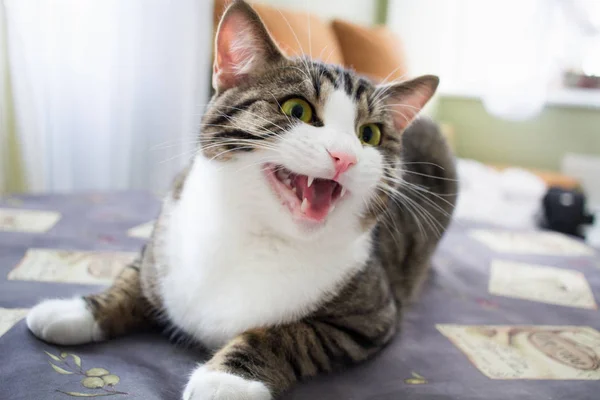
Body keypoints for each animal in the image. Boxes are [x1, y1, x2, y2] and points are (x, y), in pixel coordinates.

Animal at [23, 1, 454, 398]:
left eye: (369, 135)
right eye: (297, 109)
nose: (345, 156)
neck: (254, 233)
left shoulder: (369, 317)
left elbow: (291, 334)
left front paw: (227, 379)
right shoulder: (163, 240)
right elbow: (133, 279)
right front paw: (77, 310)